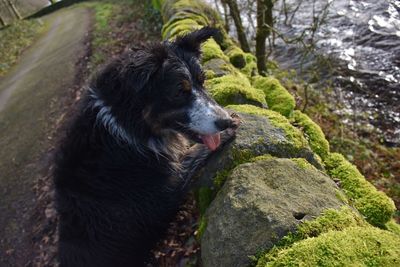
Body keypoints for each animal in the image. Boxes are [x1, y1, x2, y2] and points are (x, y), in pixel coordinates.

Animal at [54, 27, 239, 267]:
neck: (124, 125)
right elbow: (192, 155)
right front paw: (232, 125)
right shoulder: (162, 191)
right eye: (179, 91)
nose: (224, 121)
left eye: (203, 81)